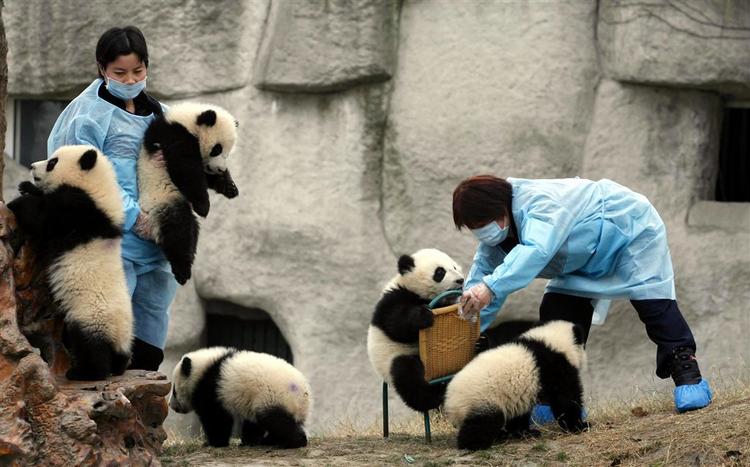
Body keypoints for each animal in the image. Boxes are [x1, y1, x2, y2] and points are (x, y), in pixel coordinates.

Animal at [7, 145, 132, 380]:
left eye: (52, 162)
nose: (32, 167)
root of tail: (118, 338)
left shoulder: (79, 213)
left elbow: (42, 218)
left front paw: (18, 200)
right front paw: (26, 186)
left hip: (91, 316)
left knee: (90, 347)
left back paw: (82, 373)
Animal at [137, 102, 239, 285]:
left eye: (227, 153)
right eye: (217, 149)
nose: (220, 169)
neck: (187, 120)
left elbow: (205, 175)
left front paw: (230, 188)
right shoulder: (173, 135)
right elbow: (186, 169)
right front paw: (203, 206)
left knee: (192, 229)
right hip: (162, 199)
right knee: (178, 229)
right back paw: (182, 271)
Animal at [169, 346, 312, 449]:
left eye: (174, 391)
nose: (172, 406)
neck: (202, 369)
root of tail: (304, 395)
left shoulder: (213, 387)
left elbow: (216, 417)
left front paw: (214, 443)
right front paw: (248, 441)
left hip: (273, 397)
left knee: (276, 421)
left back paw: (292, 443)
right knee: (262, 421)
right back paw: (268, 441)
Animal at [367, 248, 465, 412]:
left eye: (455, 267)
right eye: (440, 272)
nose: (460, 280)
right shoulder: (393, 299)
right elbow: (396, 325)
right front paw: (424, 316)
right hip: (394, 357)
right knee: (407, 375)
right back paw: (434, 398)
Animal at [443, 320, 588, 451]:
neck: (553, 342)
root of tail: (451, 404)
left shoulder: (520, 394)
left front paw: (524, 432)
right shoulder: (554, 369)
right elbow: (566, 400)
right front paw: (580, 426)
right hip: (483, 400)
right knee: (482, 424)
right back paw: (476, 444)